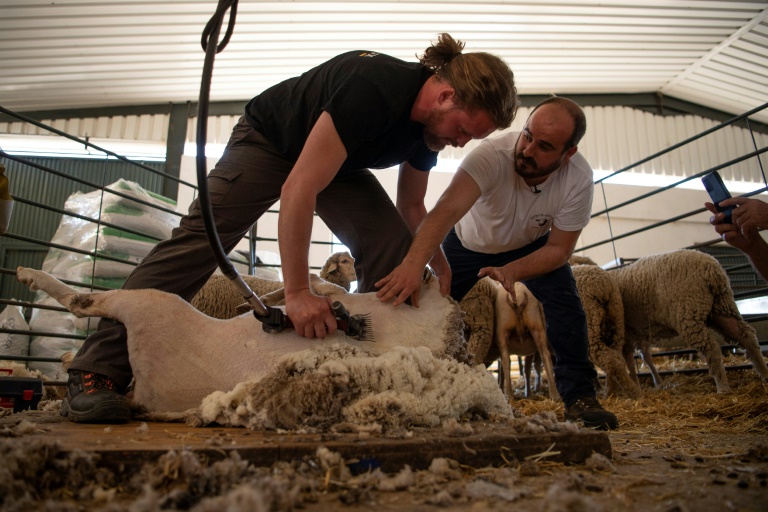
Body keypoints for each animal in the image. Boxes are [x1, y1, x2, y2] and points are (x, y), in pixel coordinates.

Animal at [612, 248, 768, 392]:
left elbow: (630, 360)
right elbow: (645, 357)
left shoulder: (626, 333)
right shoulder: (639, 333)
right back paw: (764, 373)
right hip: (721, 306)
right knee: (746, 335)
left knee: (711, 349)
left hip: (689, 315)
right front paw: (657, 383)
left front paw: (635, 384)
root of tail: (712, 270)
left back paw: (723, 388)